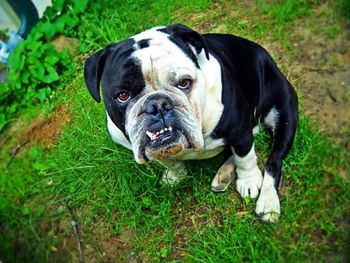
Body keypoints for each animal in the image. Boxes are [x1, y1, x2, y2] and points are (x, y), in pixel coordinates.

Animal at [83, 24, 296, 223]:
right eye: (122, 95)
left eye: (184, 82)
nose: (157, 104)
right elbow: (170, 161)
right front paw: (176, 176)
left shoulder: (240, 133)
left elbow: (245, 158)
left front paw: (249, 181)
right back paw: (225, 174)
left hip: (284, 113)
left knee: (273, 161)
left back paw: (268, 202)